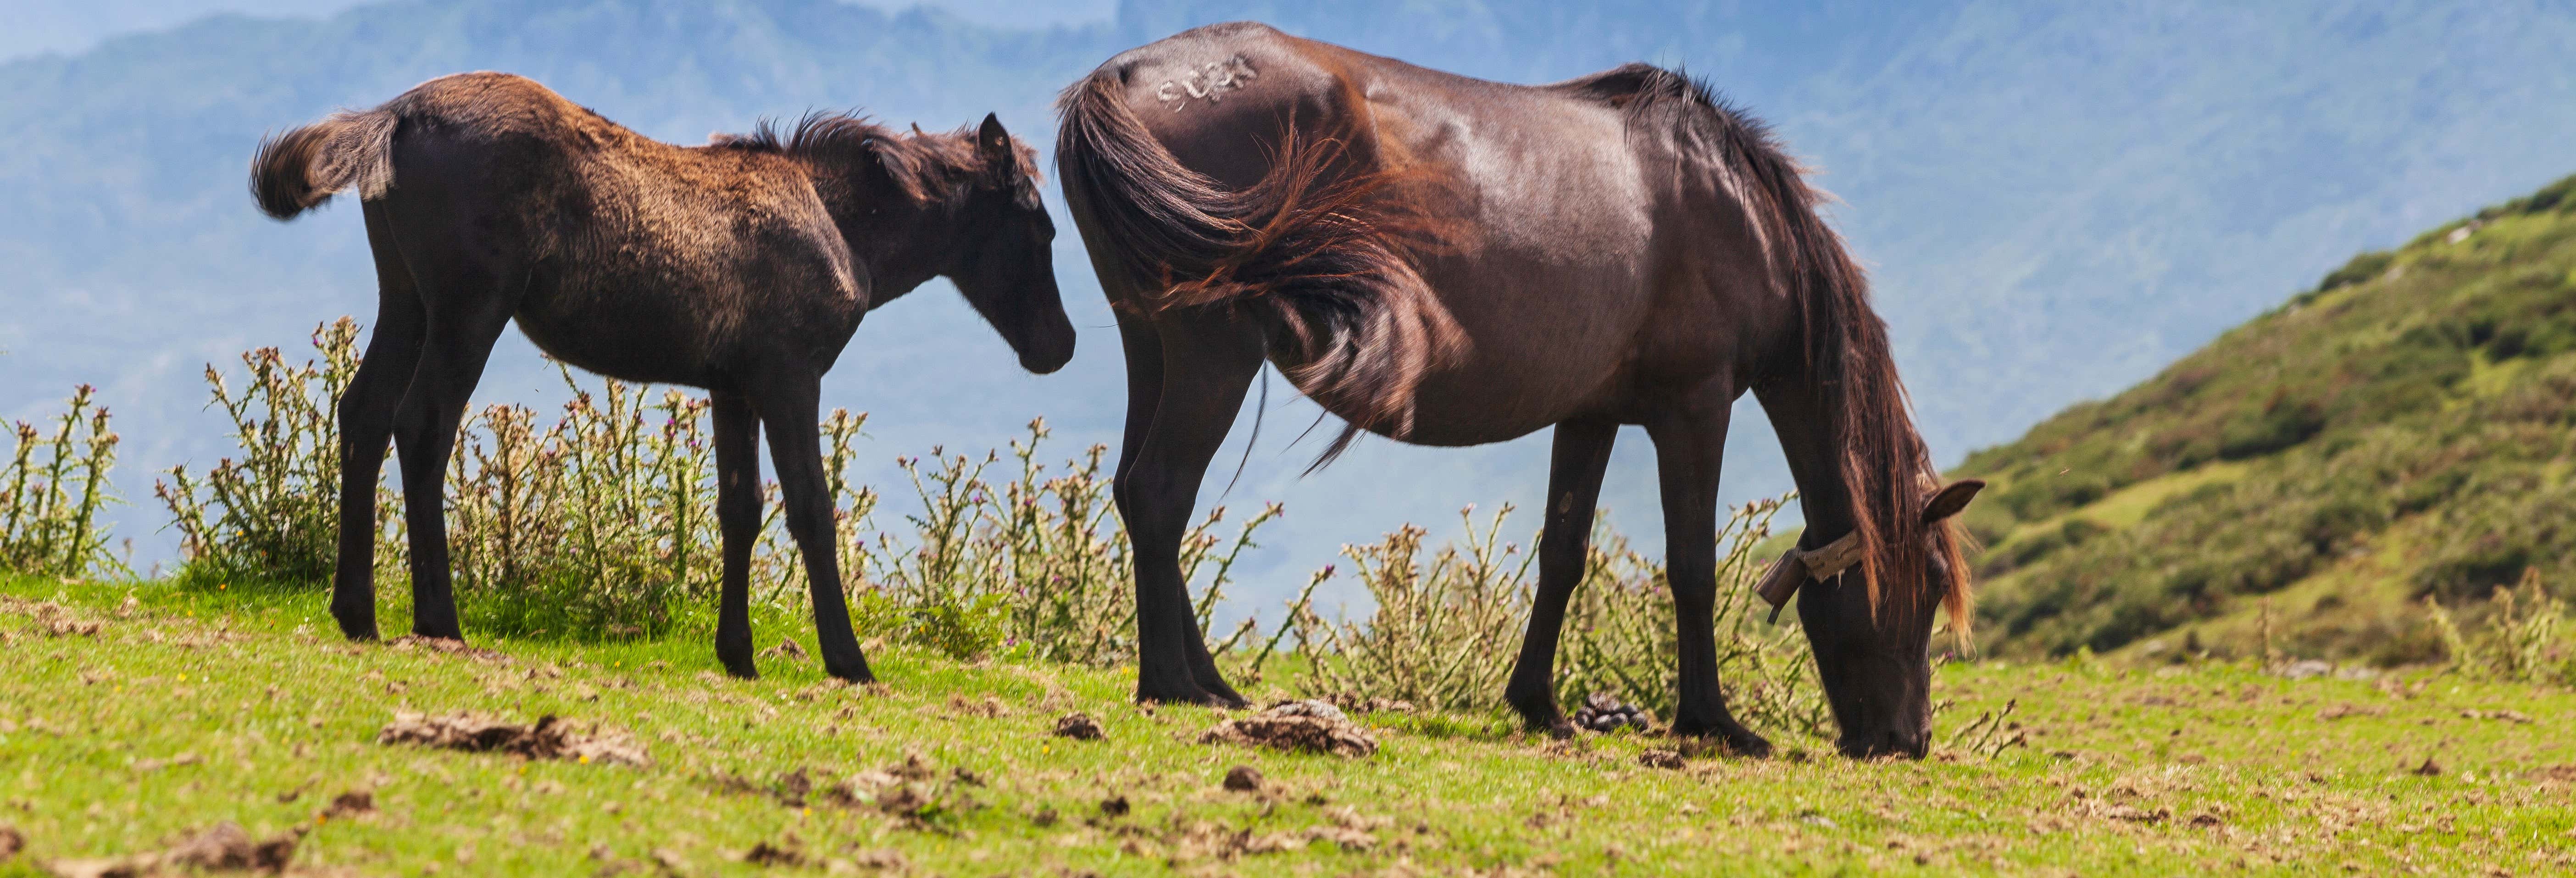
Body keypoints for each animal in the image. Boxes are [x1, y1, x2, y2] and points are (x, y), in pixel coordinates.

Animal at [254, 72, 1077, 679]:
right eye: (1038, 224)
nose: (1060, 345)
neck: (837, 222)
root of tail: (393, 116)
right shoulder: (790, 377)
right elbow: (811, 507)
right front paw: (849, 661)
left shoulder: (734, 386)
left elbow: (741, 509)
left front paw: (738, 654)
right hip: (468, 310)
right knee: (421, 425)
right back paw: (439, 620)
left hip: (408, 300)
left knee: (362, 413)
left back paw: (356, 612)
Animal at [1056, 24, 1978, 757]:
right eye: (1928, 584)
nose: (1907, 740)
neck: (1734, 211)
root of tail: (1126, 75)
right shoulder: (1696, 406)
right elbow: (1691, 567)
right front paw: (1711, 720)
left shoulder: (1593, 413)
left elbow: (1563, 553)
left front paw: (1538, 702)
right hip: (1215, 350)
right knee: (1162, 490)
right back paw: (1173, 682)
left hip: (1154, 347)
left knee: (1136, 491)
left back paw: (1208, 678)